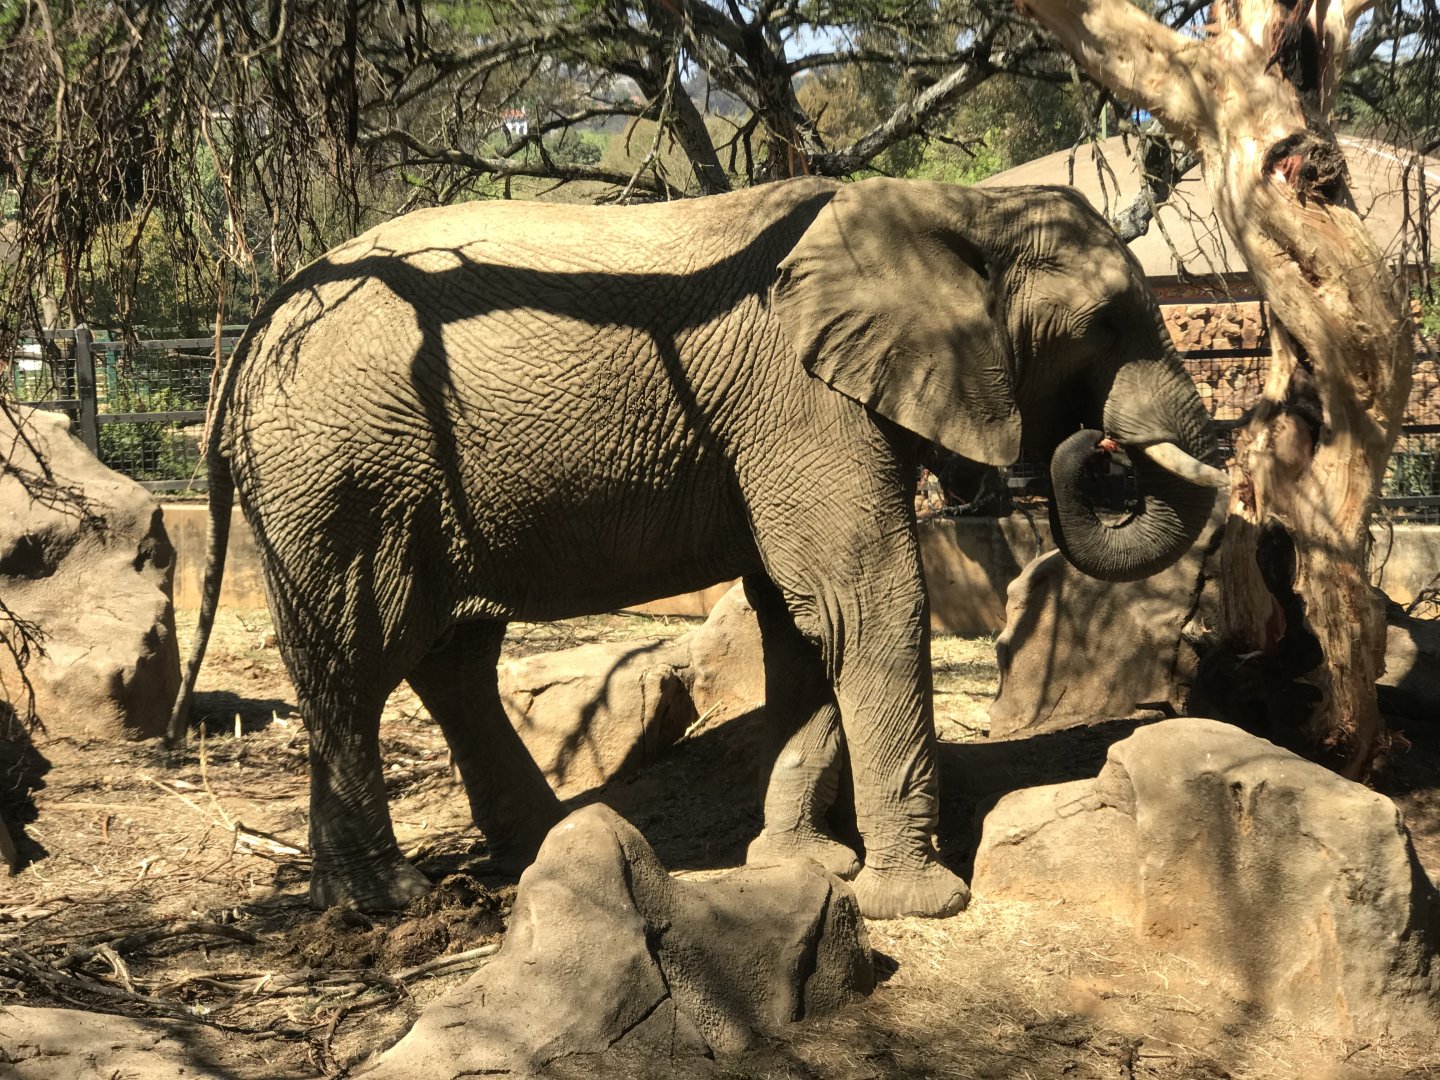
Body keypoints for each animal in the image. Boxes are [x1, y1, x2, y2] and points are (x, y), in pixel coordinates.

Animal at [169, 176, 1223, 920]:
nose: (1100, 450)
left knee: (447, 656)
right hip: (338, 475)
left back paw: (546, 845)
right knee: (356, 659)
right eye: (1106, 323)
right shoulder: (802, 405)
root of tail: (249, 334)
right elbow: (867, 601)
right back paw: (388, 901)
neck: (950, 208)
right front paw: (919, 903)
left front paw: (806, 866)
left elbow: (805, 623)